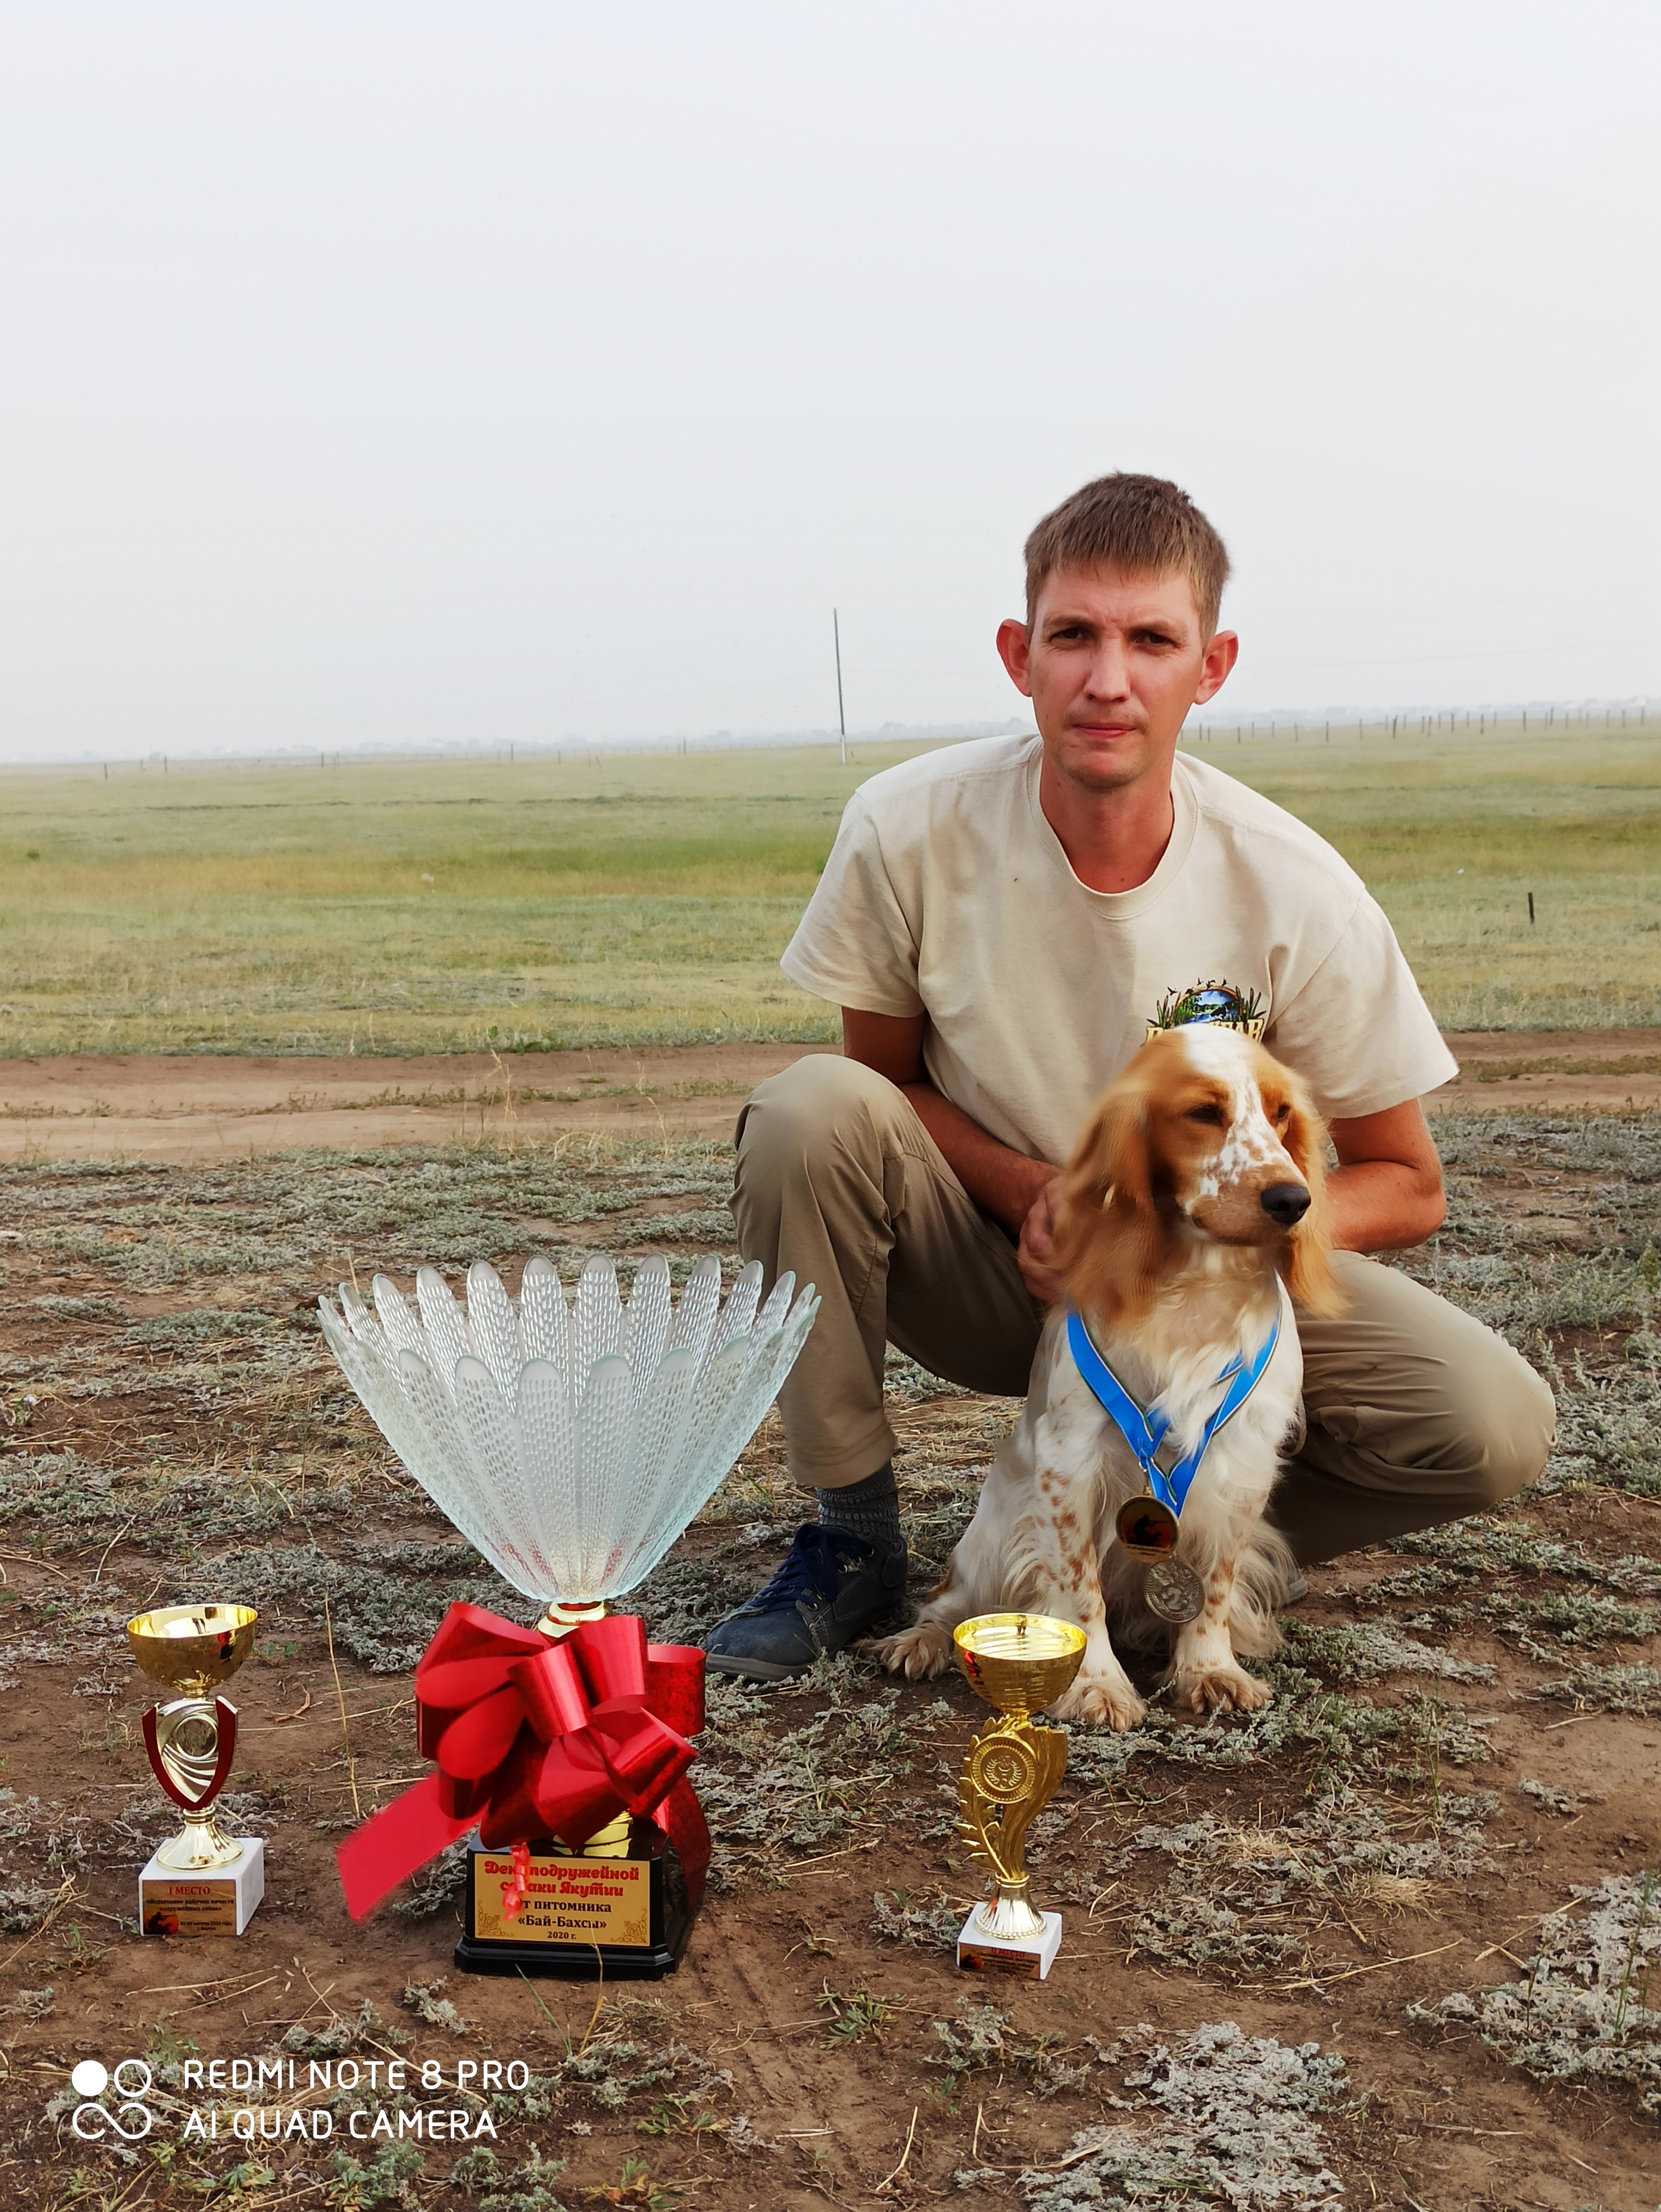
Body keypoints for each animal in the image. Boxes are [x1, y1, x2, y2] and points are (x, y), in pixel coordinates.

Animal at [875, 1018, 1344, 1725]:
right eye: (1203, 1113)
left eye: (1281, 1112)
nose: (1293, 1199)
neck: (1194, 1288)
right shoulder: (1072, 1461)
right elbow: (1080, 1589)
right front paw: (1095, 1683)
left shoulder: (1241, 1461)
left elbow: (1214, 1582)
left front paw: (1211, 1669)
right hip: (992, 1540)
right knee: (948, 1598)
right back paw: (920, 1641)